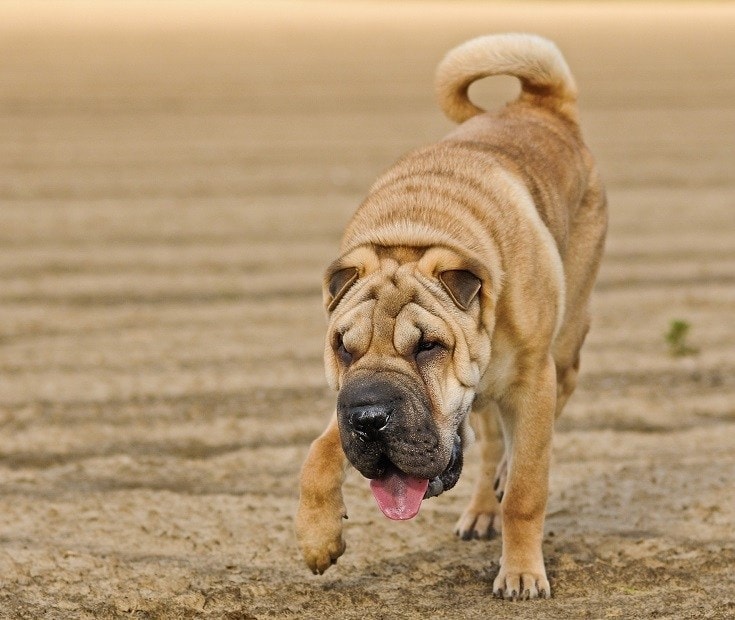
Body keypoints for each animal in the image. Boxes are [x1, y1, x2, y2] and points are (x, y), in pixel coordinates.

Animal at [296, 34, 608, 600]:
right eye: (343, 348)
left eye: (428, 346)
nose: (369, 417)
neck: (415, 234)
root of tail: (540, 103)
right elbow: (319, 451)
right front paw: (317, 539)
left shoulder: (533, 381)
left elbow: (527, 490)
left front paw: (522, 573)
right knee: (488, 445)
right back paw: (482, 510)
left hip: (566, 348)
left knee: (531, 432)